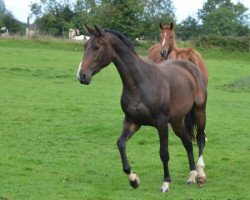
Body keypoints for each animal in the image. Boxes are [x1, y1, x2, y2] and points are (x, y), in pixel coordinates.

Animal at [77, 25, 208, 192]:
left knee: (200, 138)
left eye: (97, 47)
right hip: (177, 121)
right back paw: (191, 176)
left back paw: (200, 174)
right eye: (85, 46)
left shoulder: (161, 123)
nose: (82, 75)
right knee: (187, 142)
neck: (140, 82)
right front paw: (133, 180)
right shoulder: (132, 121)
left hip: (199, 111)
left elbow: (164, 153)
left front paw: (165, 183)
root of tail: (191, 66)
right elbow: (120, 144)